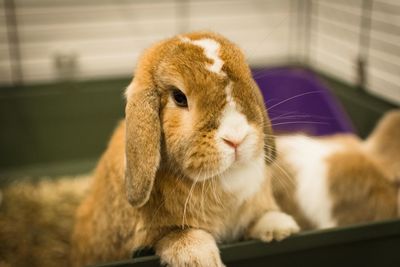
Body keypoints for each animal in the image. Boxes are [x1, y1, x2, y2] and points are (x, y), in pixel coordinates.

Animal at [70, 31, 298, 267]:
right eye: (179, 97)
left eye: (247, 81)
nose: (236, 138)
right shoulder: (158, 234)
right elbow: (178, 235)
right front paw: (202, 259)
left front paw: (281, 227)